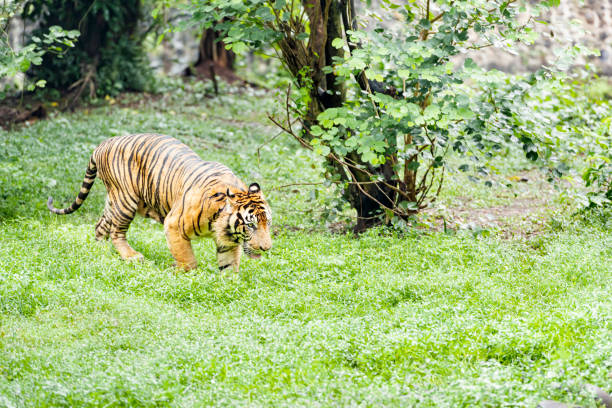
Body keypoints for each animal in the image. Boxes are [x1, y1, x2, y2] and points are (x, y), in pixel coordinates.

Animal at [45, 134, 270, 272]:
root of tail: (104, 143)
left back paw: (99, 249)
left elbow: (229, 266)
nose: (266, 248)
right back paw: (132, 256)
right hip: (126, 201)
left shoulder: (228, 240)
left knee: (100, 225)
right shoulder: (173, 224)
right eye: (251, 225)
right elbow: (187, 259)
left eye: (268, 223)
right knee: (117, 233)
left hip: (116, 200)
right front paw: (183, 274)